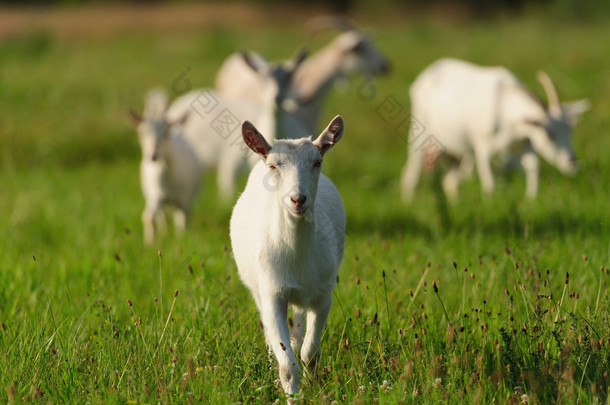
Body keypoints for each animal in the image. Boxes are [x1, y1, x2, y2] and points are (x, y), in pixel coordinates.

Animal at [129, 89, 200, 243]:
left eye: (166, 133)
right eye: (141, 133)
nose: (153, 156)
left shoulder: (184, 199)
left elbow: (182, 220)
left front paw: (182, 238)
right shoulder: (154, 195)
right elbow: (148, 217)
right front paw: (150, 242)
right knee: (162, 216)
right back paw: (163, 232)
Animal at [229, 114, 344, 398]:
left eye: (317, 162)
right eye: (273, 166)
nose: (297, 199)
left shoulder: (323, 293)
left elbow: (310, 353)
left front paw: (315, 386)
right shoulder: (273, 291)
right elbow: (288, 365)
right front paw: (294, 396)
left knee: (300, 325)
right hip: (258, 288)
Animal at [400, 57, 588, 200]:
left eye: (570, 131)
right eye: (549, 133)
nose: (572, 161)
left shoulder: (524, 143)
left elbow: (533, 166)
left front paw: (531, 198)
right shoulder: (483, 147)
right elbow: (489, 181)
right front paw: (491, 201)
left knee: (449, 180)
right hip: (420, 127)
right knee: (414, 165)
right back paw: (408, 197)